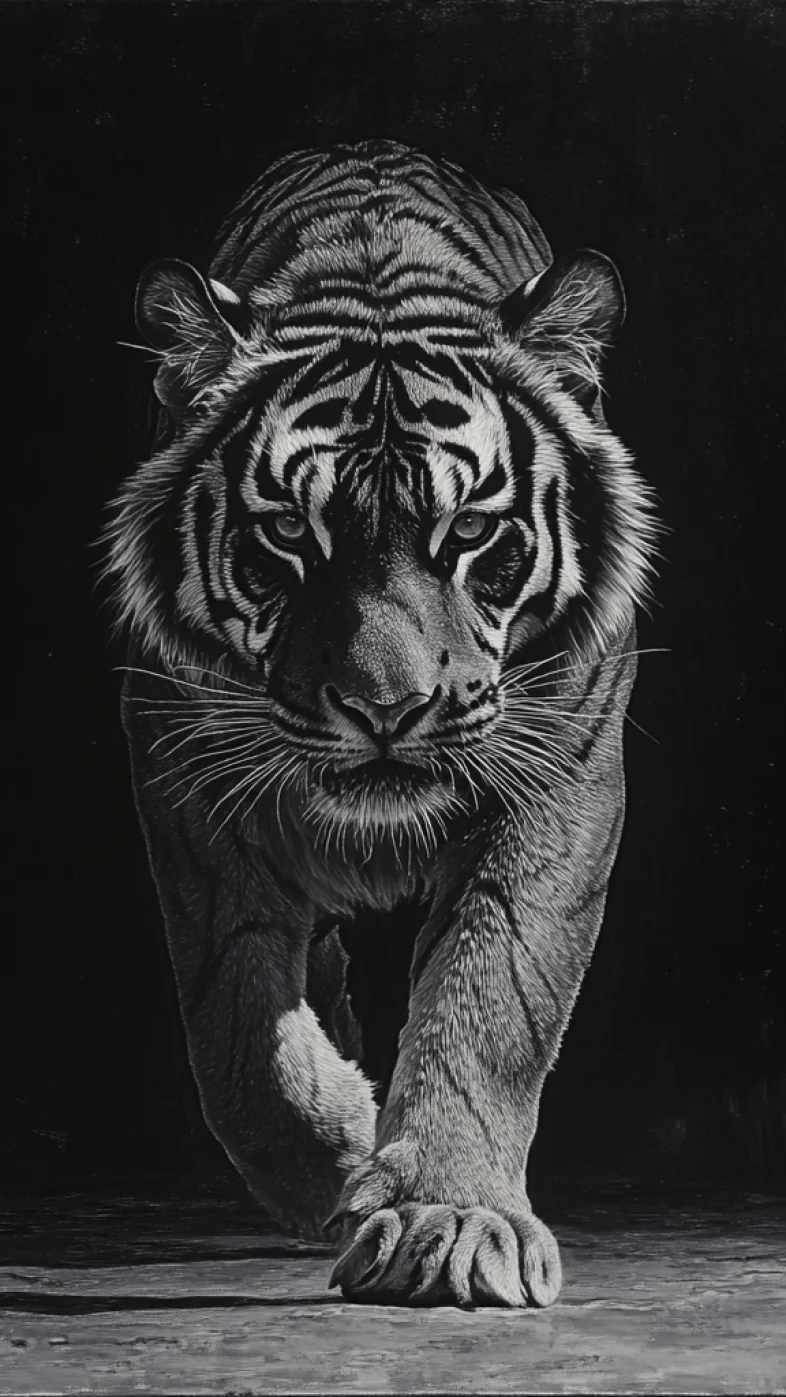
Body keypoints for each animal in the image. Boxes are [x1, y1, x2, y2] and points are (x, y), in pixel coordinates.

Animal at [103, 139, 658, 1309]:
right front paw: (348, 1157)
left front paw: (448, 1215)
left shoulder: (562, 771)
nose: (386, 706)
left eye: (473, 530)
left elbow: (492, 992)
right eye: (286, 532)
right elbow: (236, 1030)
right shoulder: (183, 772)